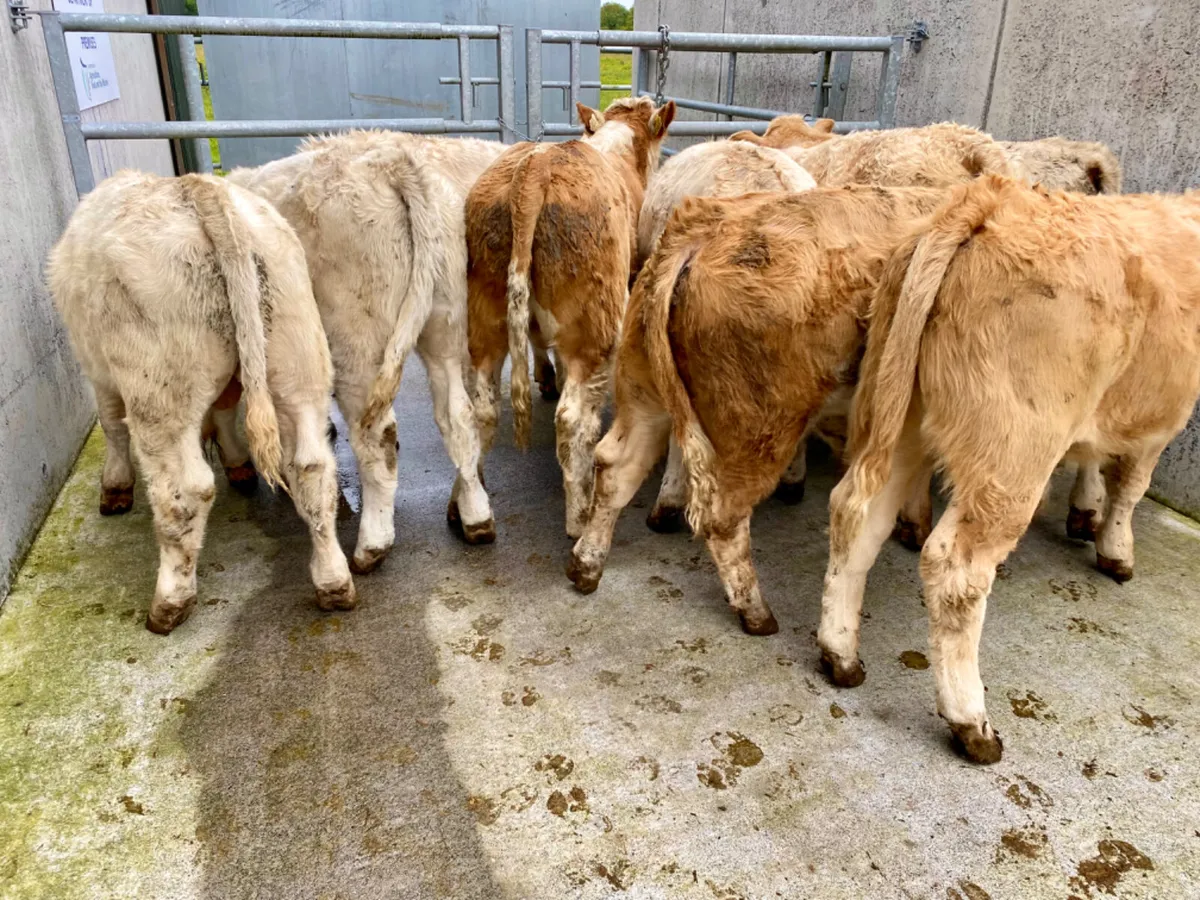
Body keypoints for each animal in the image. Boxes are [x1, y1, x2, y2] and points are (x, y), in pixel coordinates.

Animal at [51, 172, 350, 638]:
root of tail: (198, 189)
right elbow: (225, 412)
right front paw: (237, 462)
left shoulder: (97, 371)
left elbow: (112, 424)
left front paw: (115, 487)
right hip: (298, 360)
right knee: (312, 468)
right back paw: (333, 581)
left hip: (159, 389)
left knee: (185, 491)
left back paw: (170, 602)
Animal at [465, 97, 676, 535]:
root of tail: (536, 165)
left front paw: (551, 378)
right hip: (596, 325)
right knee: (573, 418)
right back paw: (579, 515)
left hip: (485, 315)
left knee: (481, 407)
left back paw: (471, 512)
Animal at [566, 183, 950, 633]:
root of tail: (700, 231)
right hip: (760, 428)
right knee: (723, 517)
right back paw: (755, 612)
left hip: (645, 394)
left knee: (615, 467)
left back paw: (586, 566)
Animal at [816, 177, 1200, 768]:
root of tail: (990, 198)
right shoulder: (1162, 415)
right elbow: (1132, 487)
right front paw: (1116, 549)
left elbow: (1095, 460)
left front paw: (1085, 513)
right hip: (1012, 452)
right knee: (956, 570)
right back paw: (970, 721)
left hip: (901, 412)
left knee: (856, 514)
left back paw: (839, 653)